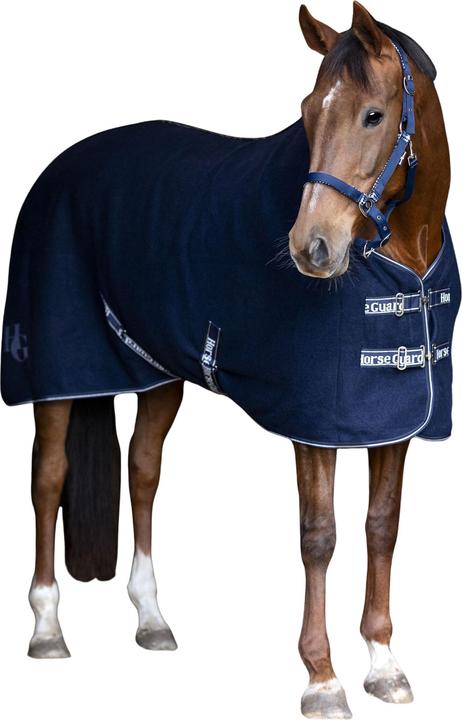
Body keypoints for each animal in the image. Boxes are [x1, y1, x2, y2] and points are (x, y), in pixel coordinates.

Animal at [1, 3, 459, 719]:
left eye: (373, 115)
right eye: (308, 111)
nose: (311, 246)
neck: (401, 263)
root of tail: (60, 167)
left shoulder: (396, 416)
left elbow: (381, 527)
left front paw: (385, 665)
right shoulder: (314, 424)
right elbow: (319, 535)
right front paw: (322, 678)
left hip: (157, 374)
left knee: (143, 471)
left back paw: (152, 619)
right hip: (55, 371)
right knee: (48, 478)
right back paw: (47, 627)